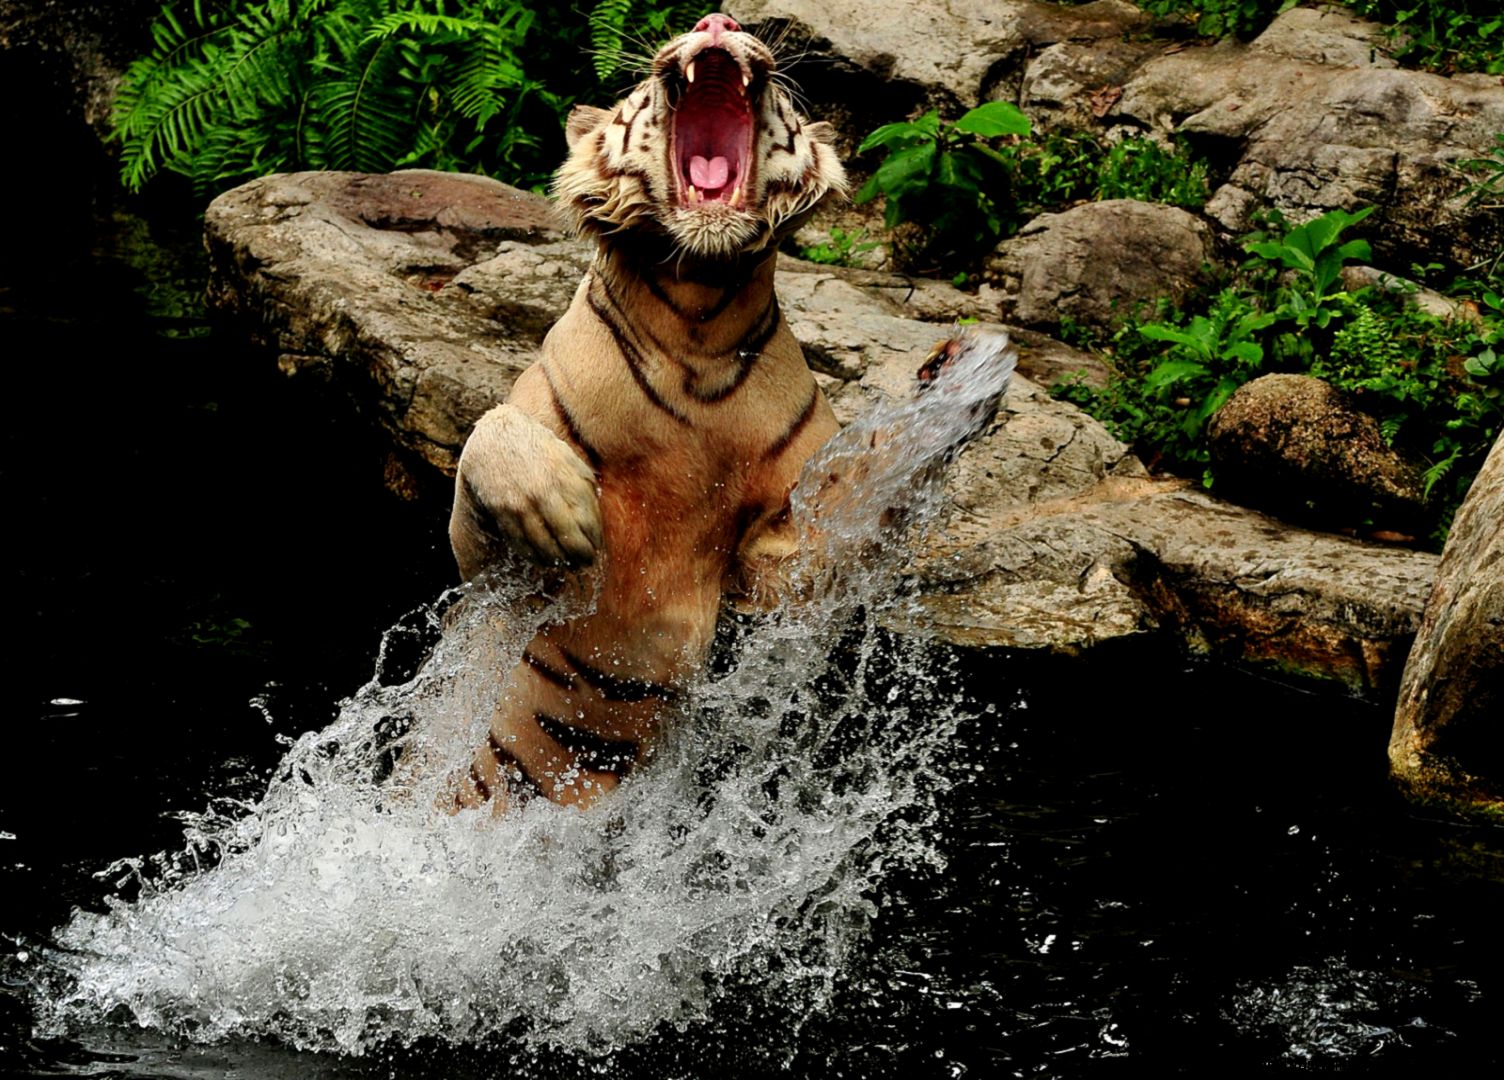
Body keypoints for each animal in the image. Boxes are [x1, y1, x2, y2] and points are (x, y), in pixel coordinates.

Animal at [447, 13, 1006, 813]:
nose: (719, 21)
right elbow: (488, 436)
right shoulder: (488, 575)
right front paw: (560, 512)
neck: (698, 321)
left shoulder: (782, 572)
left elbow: (863, 497)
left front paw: (958, 382)